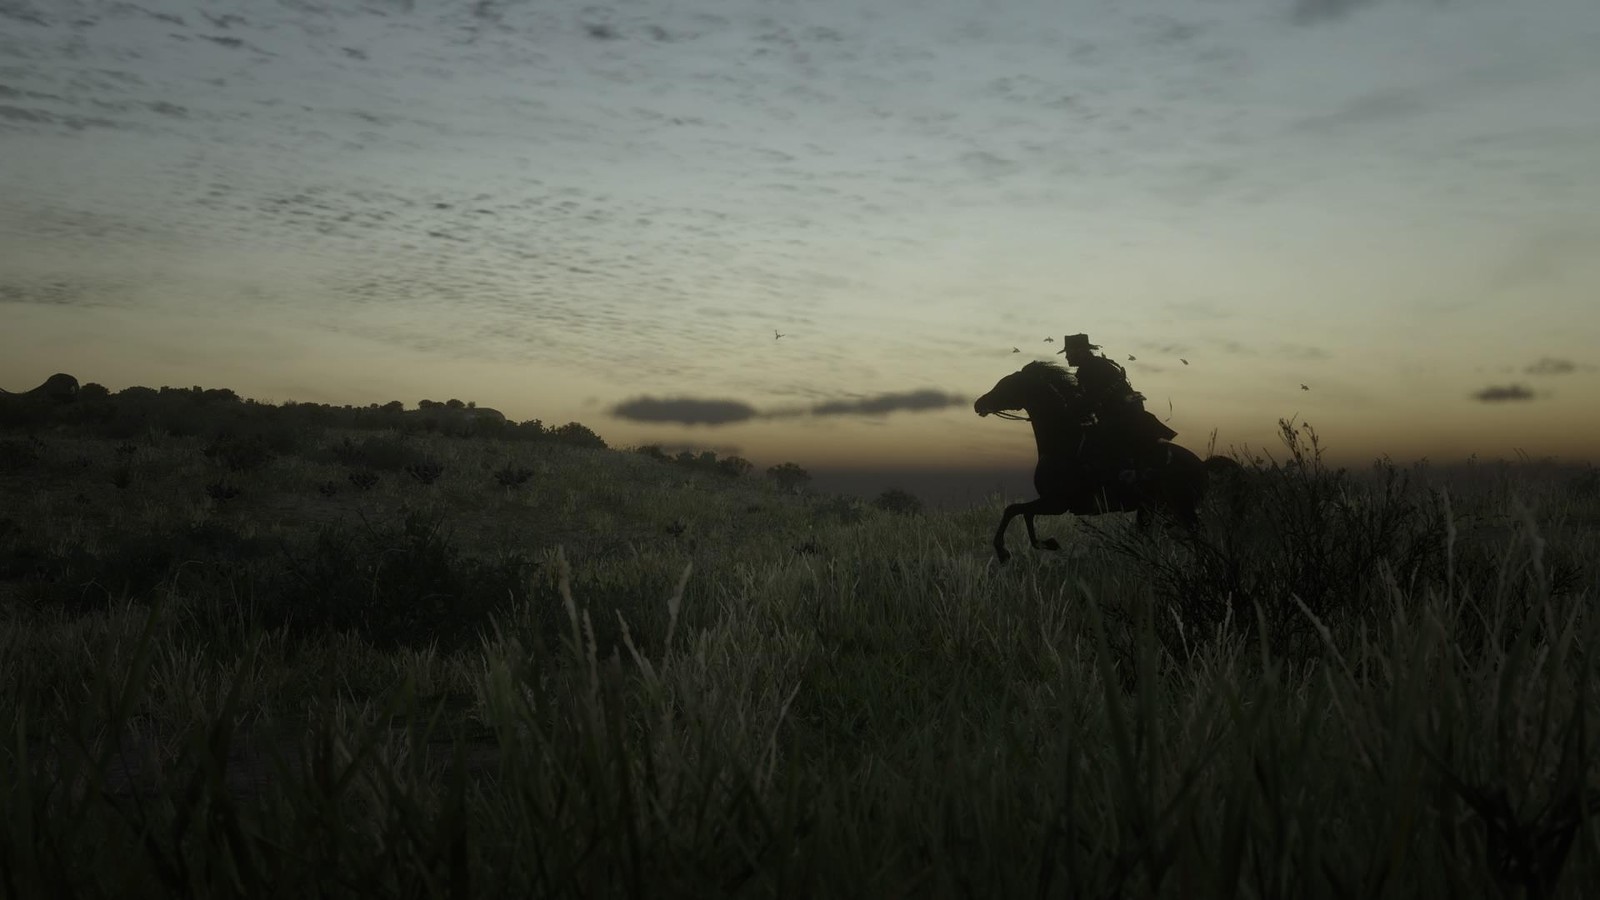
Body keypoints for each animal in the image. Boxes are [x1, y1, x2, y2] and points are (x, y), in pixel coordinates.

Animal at [972, 358, 1235, 560]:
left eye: (1006, 384)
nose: (978, 404)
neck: (1063, 442)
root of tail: (1202, 464)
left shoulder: (1056, 503)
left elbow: (1013, 510)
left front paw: (1004, 551)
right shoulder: (1050, 503)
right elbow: (1021, 513)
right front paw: (1047, 544)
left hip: (1181, 508)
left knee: (1197, 534)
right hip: (1152, 509)